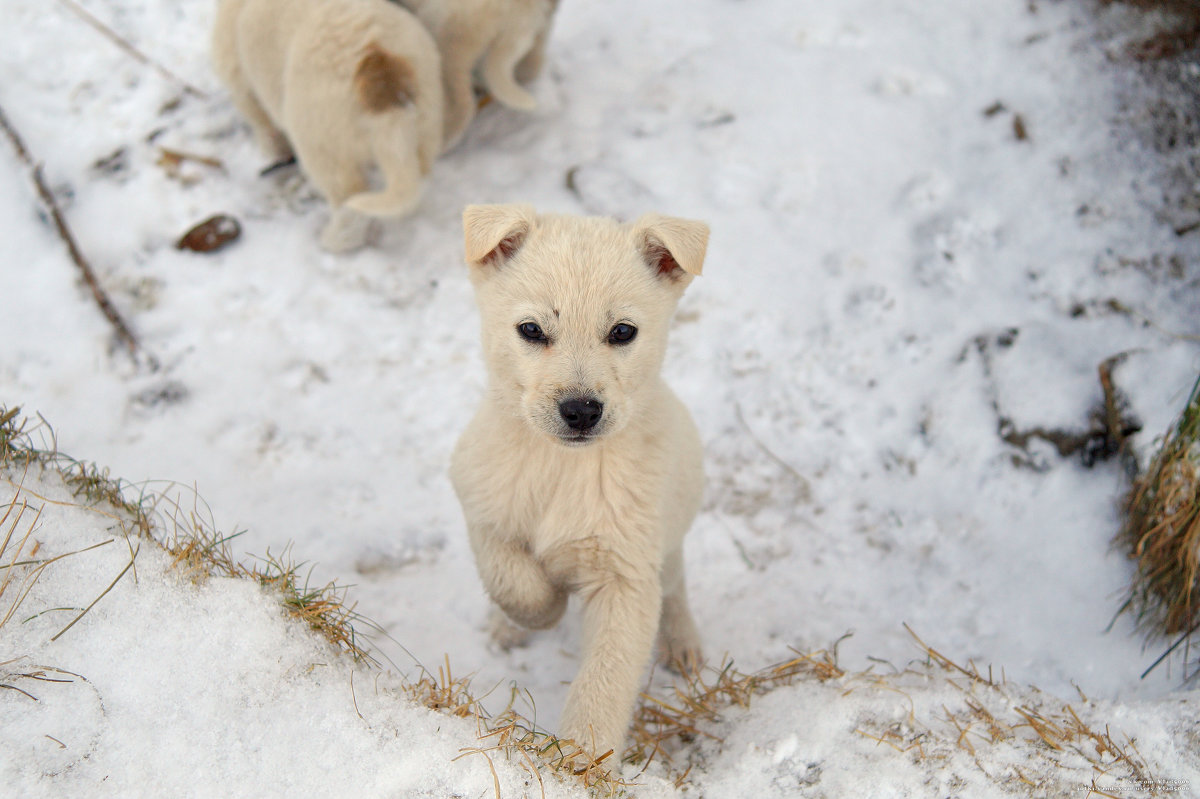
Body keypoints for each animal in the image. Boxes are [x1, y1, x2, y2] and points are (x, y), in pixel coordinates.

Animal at [213, 0, 444, 250]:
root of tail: (376, 62)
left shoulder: (239, 80)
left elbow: (261, 123)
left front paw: (272, 150)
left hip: (323, 150)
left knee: (349, 209)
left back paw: (333, 240)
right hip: (425, 125)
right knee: (417, 181)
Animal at [451, 202, 710, 758]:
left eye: (622, 332)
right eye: (531, 330)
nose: (581, 411)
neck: (562, 467)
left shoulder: (626, 575)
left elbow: (603, 687)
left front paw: (581, 762)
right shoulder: (482, 505)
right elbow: (512, 579)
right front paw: (542, 609)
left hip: (669, 542)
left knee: (676, 588)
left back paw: (683, 644)